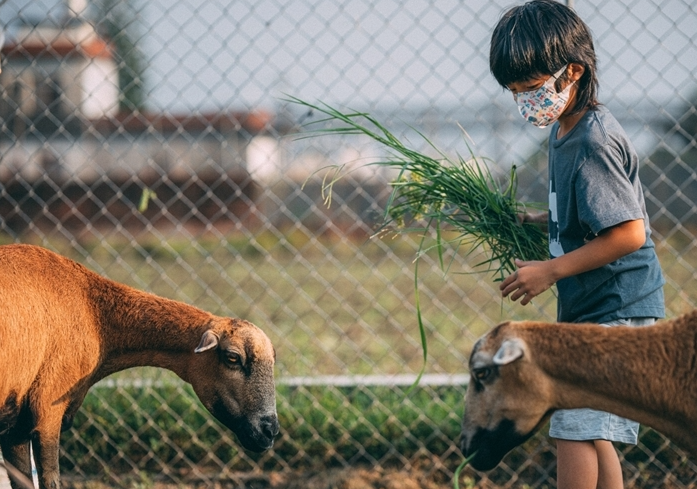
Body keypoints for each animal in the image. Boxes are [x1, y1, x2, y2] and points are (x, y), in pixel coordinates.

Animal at [0, 244, 278, 488]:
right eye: (232, 358)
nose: (270, 431)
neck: (96, 315)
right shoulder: (48, 409)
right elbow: (51, 480)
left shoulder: (16, 425)